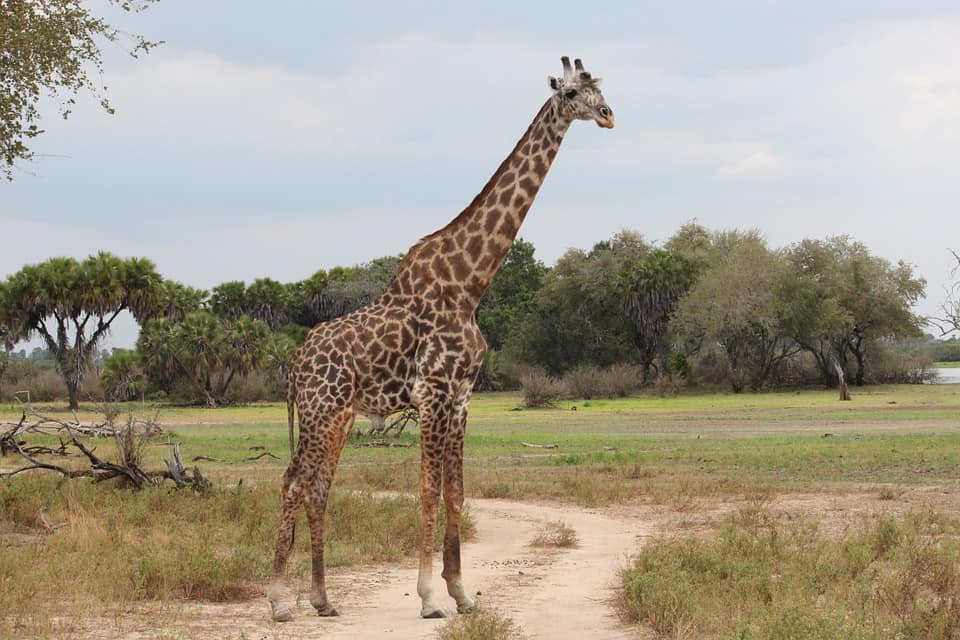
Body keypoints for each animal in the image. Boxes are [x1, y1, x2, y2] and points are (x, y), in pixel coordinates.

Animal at [268, 56, 614, 623]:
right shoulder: (431, 392)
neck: (470, 284)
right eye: (569, 92)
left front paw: (462, 593)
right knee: (294, 481)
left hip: (339, 417)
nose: (607, 115)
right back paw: (278, 601)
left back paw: (322, 600)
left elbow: (457, 492)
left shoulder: (462, 395)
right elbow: (429, 491)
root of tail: (295, 363)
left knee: (317, 488)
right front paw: (430, 598)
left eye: (599, 87)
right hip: (321, 410)